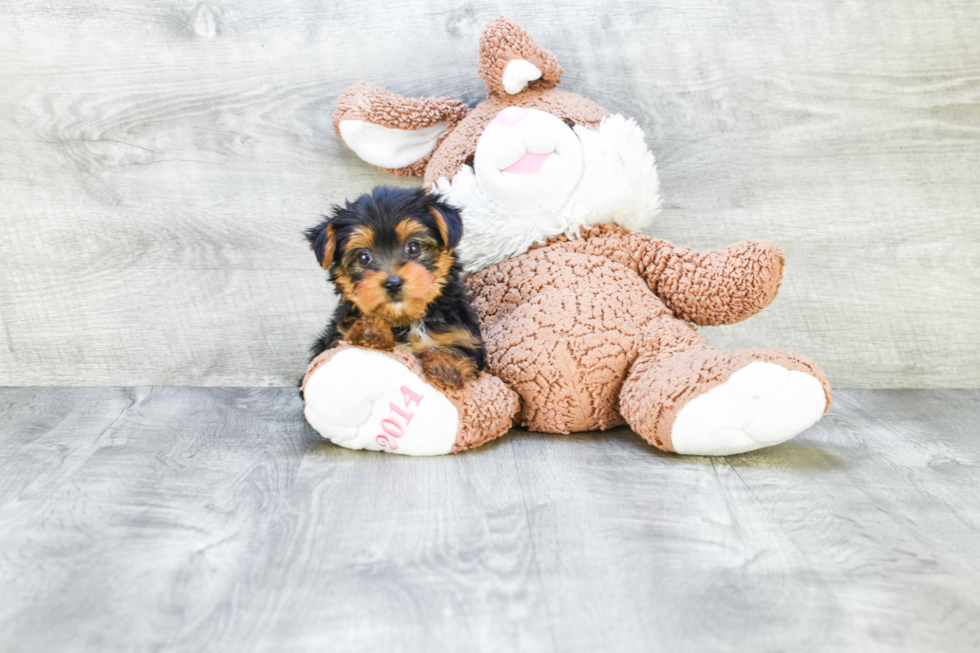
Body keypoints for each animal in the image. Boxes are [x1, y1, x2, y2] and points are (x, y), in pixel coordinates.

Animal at [306, 185, 486, 388]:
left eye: (414, 247)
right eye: (363, 257)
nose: (392, 284)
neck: (405, 319)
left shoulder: (464, 335)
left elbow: (457, 349)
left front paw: (446, 366)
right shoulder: (334, 341)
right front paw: (370, 329)